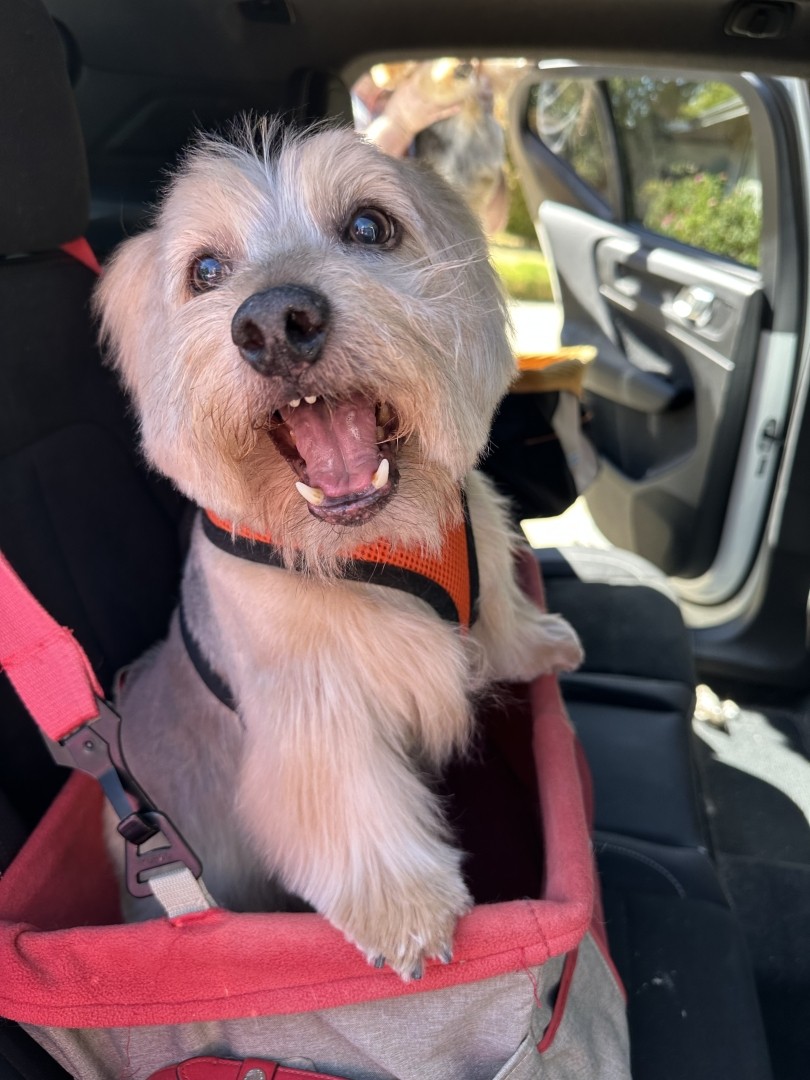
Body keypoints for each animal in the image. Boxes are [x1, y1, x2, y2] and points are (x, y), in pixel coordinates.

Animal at [95, 118, 583, 980]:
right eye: (205, 270)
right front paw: (405, 906)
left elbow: (499, 610)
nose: (273, 323)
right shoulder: (312, 701)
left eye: (368, 226)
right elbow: (348, 795)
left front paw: (534, 643)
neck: (377, 535)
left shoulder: (480, 531)